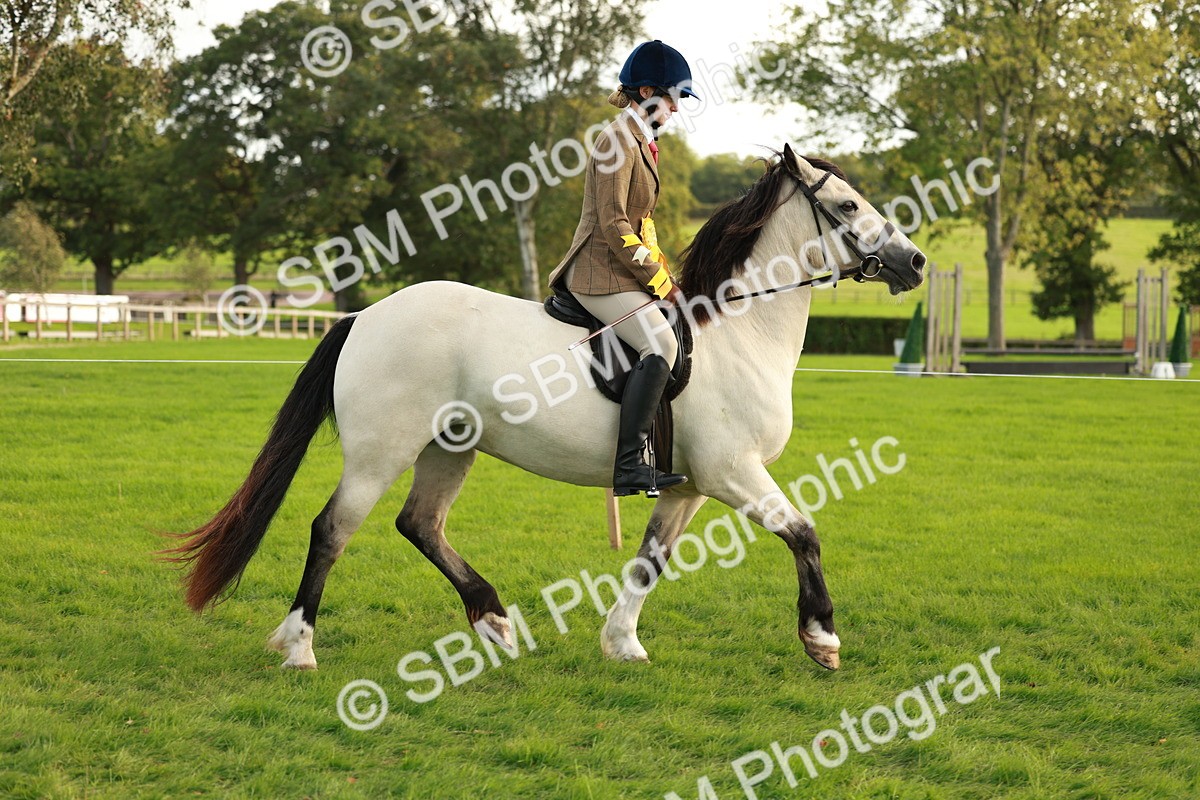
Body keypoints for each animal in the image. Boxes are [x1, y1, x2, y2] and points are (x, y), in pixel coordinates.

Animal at [164, 144, 926, 672]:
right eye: (848, 207)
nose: (914, 262)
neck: (737, 330)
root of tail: (364, 315)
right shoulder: (734, 472)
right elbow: (804, 533)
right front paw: (822, 637)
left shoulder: (693, 486)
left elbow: (649, 561)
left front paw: (621, 643)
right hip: (382, 451)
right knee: (333, 530)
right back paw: (300, 647)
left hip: (450, 447)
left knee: (421, 525)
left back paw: (493, 620)